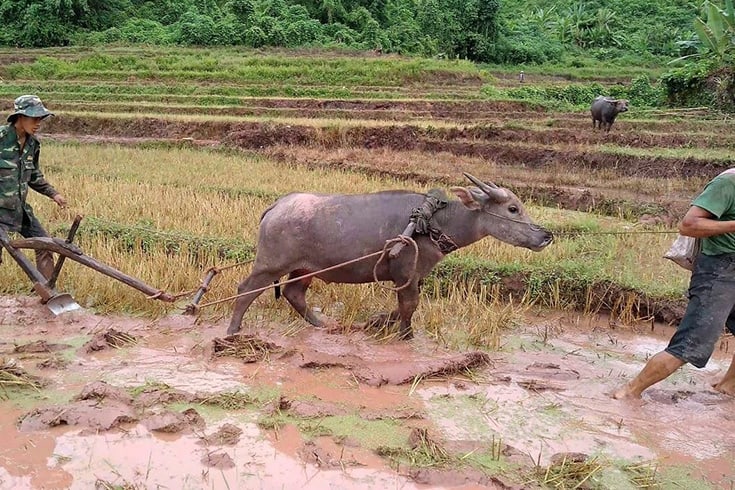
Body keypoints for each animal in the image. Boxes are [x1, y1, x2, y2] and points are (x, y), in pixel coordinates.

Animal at [229, 174, 552, 338]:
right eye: (513, 209)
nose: (545, 236)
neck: (434, 223)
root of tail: (276, 206)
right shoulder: (405, 274)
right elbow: (409, 307)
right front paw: (405, 336)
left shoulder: (414, 277)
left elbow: (401, 308)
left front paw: (378, 321)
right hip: (269, 265)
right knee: (245, 290)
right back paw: (233, 330)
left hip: (305, 269)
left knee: (295, 294)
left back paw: (323, 325)